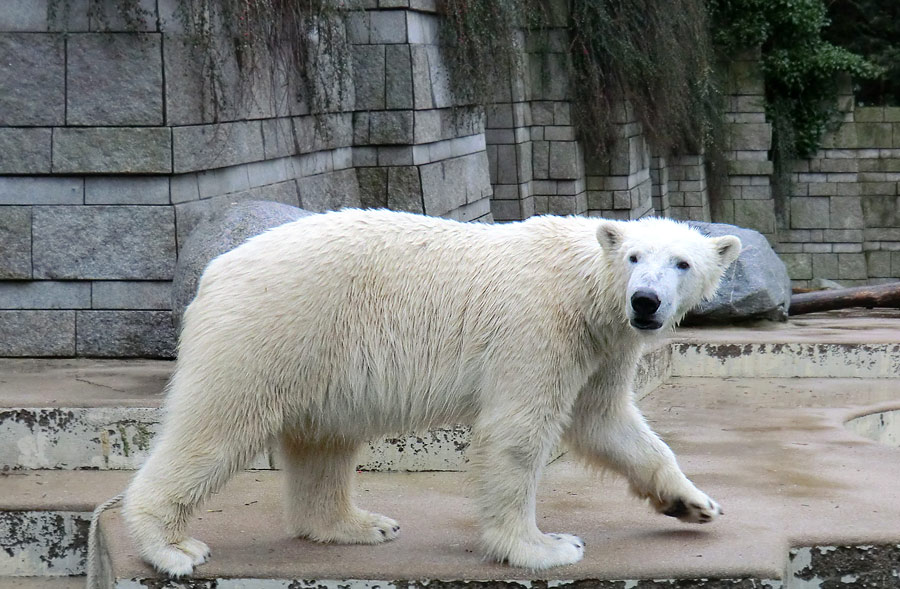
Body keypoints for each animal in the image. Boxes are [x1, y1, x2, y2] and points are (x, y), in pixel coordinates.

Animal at [123, 207, 740, 576]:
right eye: (634, 257)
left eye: (682, 262)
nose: (645, 301)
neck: (583, 285)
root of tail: (216, 270)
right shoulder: (540, 327)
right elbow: (517, 433)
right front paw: (546, 547)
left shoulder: (604, 346)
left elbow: (607, 422)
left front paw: (695, 503)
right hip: (270, 329)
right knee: (218, 424)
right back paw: (171, 547)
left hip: (318, 355)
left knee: (324, 441)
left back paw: (362, 525)